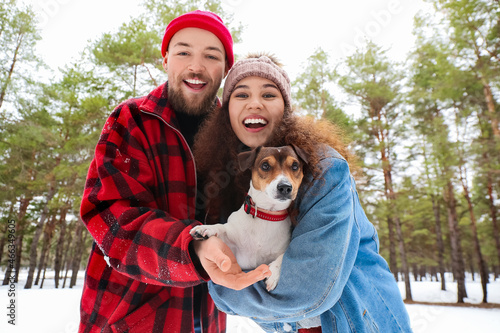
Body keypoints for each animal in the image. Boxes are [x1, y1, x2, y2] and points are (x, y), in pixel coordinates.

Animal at [191, 144, 308, 290]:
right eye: (265, 166)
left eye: (295, 166)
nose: (285, 187)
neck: (267, 214)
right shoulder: (237, 250)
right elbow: (222, 228)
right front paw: (206, 229)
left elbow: (283, 255)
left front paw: (274, 273)